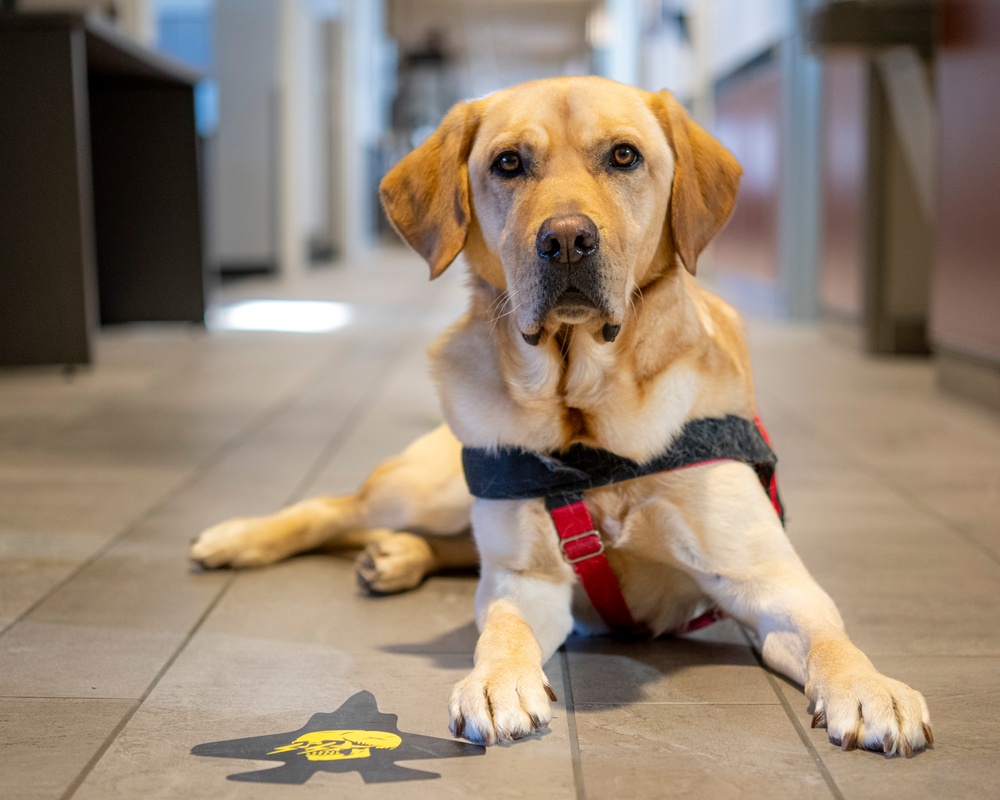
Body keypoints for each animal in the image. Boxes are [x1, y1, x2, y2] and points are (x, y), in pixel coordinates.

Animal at [191, 78, 932, 760]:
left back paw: (395, 556)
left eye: (625, 156)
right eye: (508, 162)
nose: (569, 239)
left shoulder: (767, 578)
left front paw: (870, 686)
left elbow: (831, 635)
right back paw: (238, 537)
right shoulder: (529, 579)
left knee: (435, 544)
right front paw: (496, 681)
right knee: (338, 508)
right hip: (432, 488)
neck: (589, 422)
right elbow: (504, 628)